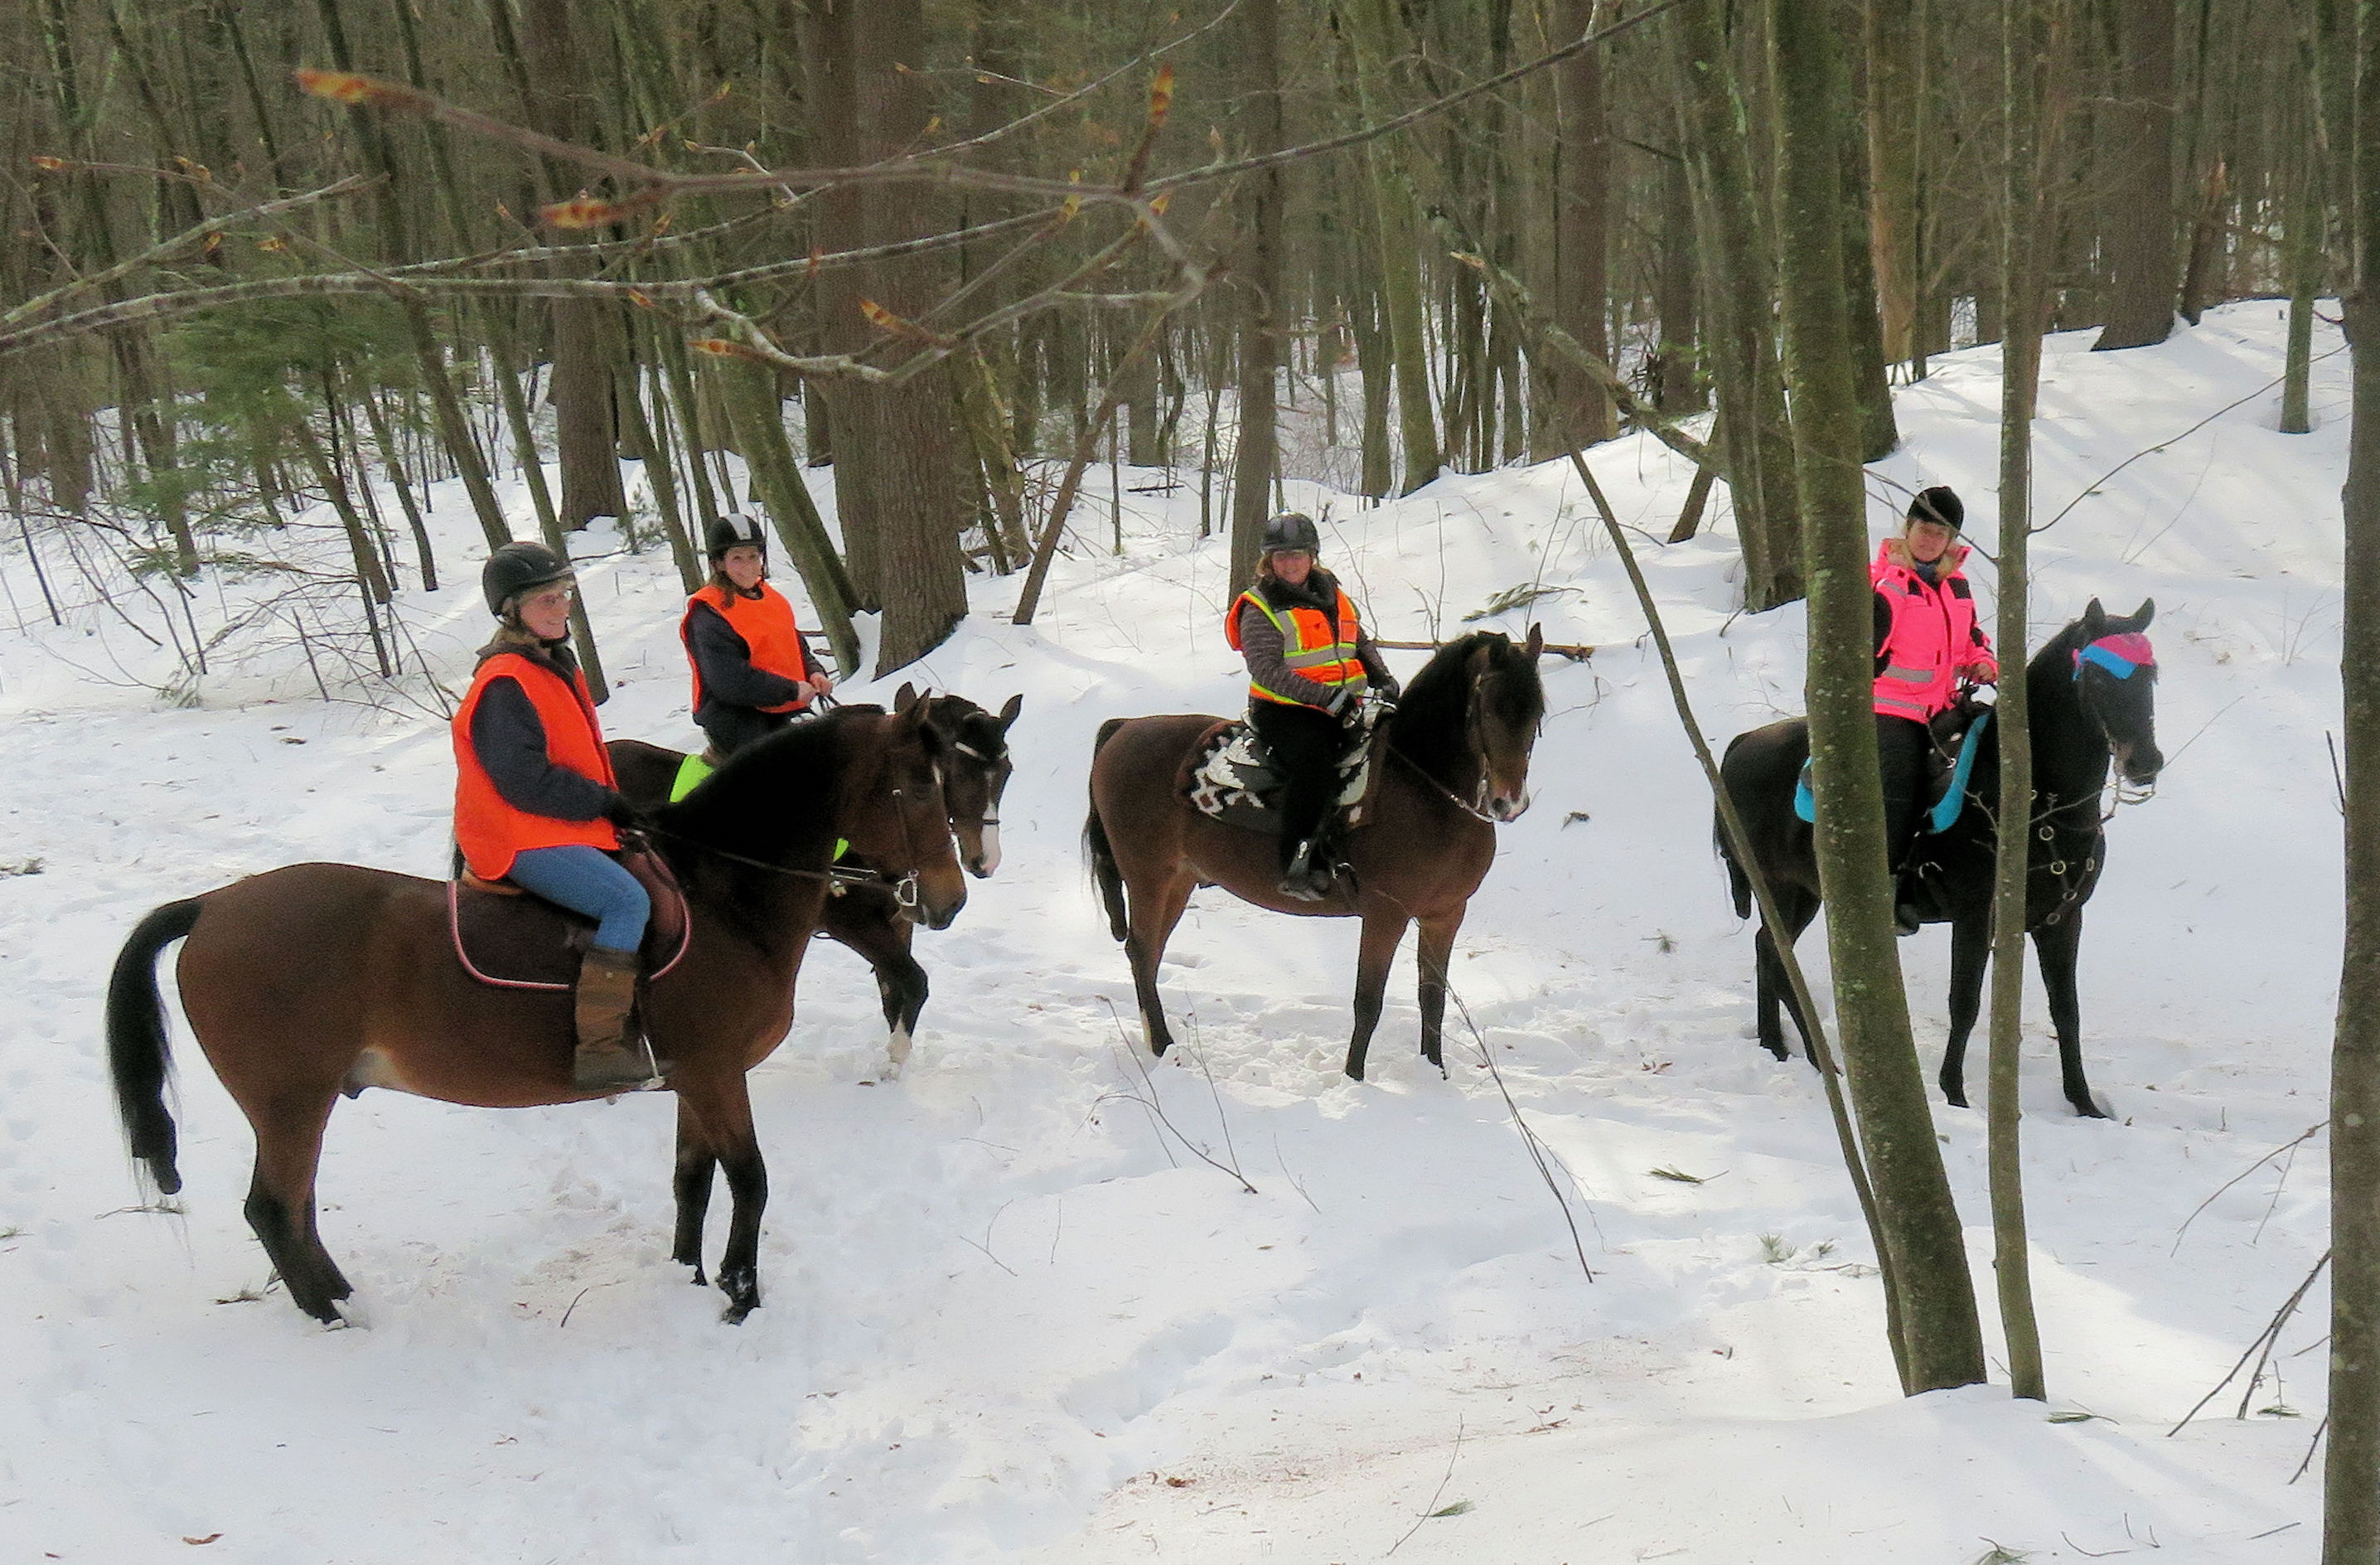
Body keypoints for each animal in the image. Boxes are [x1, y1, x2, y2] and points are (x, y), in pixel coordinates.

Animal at [109, 700, 966, 1324]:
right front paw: (741, 1297)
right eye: (923, 787)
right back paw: (336, 1319)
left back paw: (344, 1297)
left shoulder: (694, 1078)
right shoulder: (717, 1072)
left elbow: (693, 1179)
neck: (720, 894)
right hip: (291, 1102)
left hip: (300, 1105)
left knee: (296, 1210)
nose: (951, 900)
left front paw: (689, 1279)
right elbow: (749, 1180)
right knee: (275, 1210)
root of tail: (212, 906)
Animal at [604, 686, 1023, 1076]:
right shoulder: (850, 922)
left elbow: (894, 987)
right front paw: (894, 1058)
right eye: (953, 772)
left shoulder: (899, 920)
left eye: (1006, 773)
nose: (984, 860)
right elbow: (912, 979)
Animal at [1090, 623, 1551, 1076]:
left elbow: (1433, 999)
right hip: (1149, 877)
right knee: (1141, 951)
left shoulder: (1446, 914)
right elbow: (1369, 1001)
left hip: (1178, 881)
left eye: (1536, 713)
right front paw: (1355, 1078)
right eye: (1490, 710)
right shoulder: (1386, 915)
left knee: (1148, 955)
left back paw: (1159, 1044)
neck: (1425, 791)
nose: (1509, 803)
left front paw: (1435, 1075)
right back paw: (1162, 1044)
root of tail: (1124, 727)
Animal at [1723, 593, 2170, 1114]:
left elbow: (2067, 1012)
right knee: (1776, 957)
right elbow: (1966, 1003)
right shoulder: (1976, 915)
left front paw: (2084, 1104)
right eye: (2098, 677)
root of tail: (1741, 746)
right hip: (1782, 888)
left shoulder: (2062, 920)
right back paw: (1820, 1060)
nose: (2145, 763)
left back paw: (1777, 1046)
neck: (2033, 802)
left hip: (1801, 895)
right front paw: (1954, 1094)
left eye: (2150, 676)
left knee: (1768, 950)